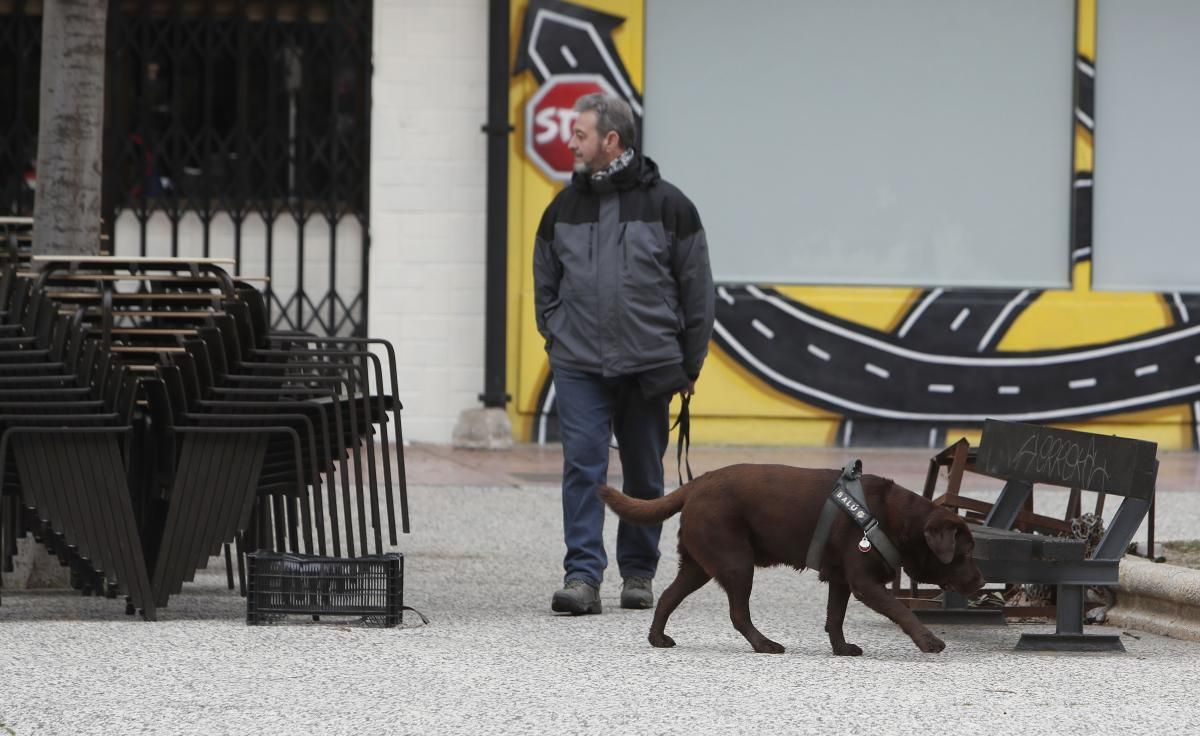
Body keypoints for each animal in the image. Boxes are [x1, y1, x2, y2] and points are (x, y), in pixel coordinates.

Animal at [600, 465, 984, 653]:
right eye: (965, 554)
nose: (981, 582)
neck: (892, 518)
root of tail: (695, 484)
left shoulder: (841, 580)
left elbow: (835, 617)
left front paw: (841, 648)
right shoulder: (863, 582)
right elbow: (902, 611)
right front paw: (928, 641)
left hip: (700, 565)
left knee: (668, 596)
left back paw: (657, 638)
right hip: (736, 562)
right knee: (738, 614)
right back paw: (764, 645)